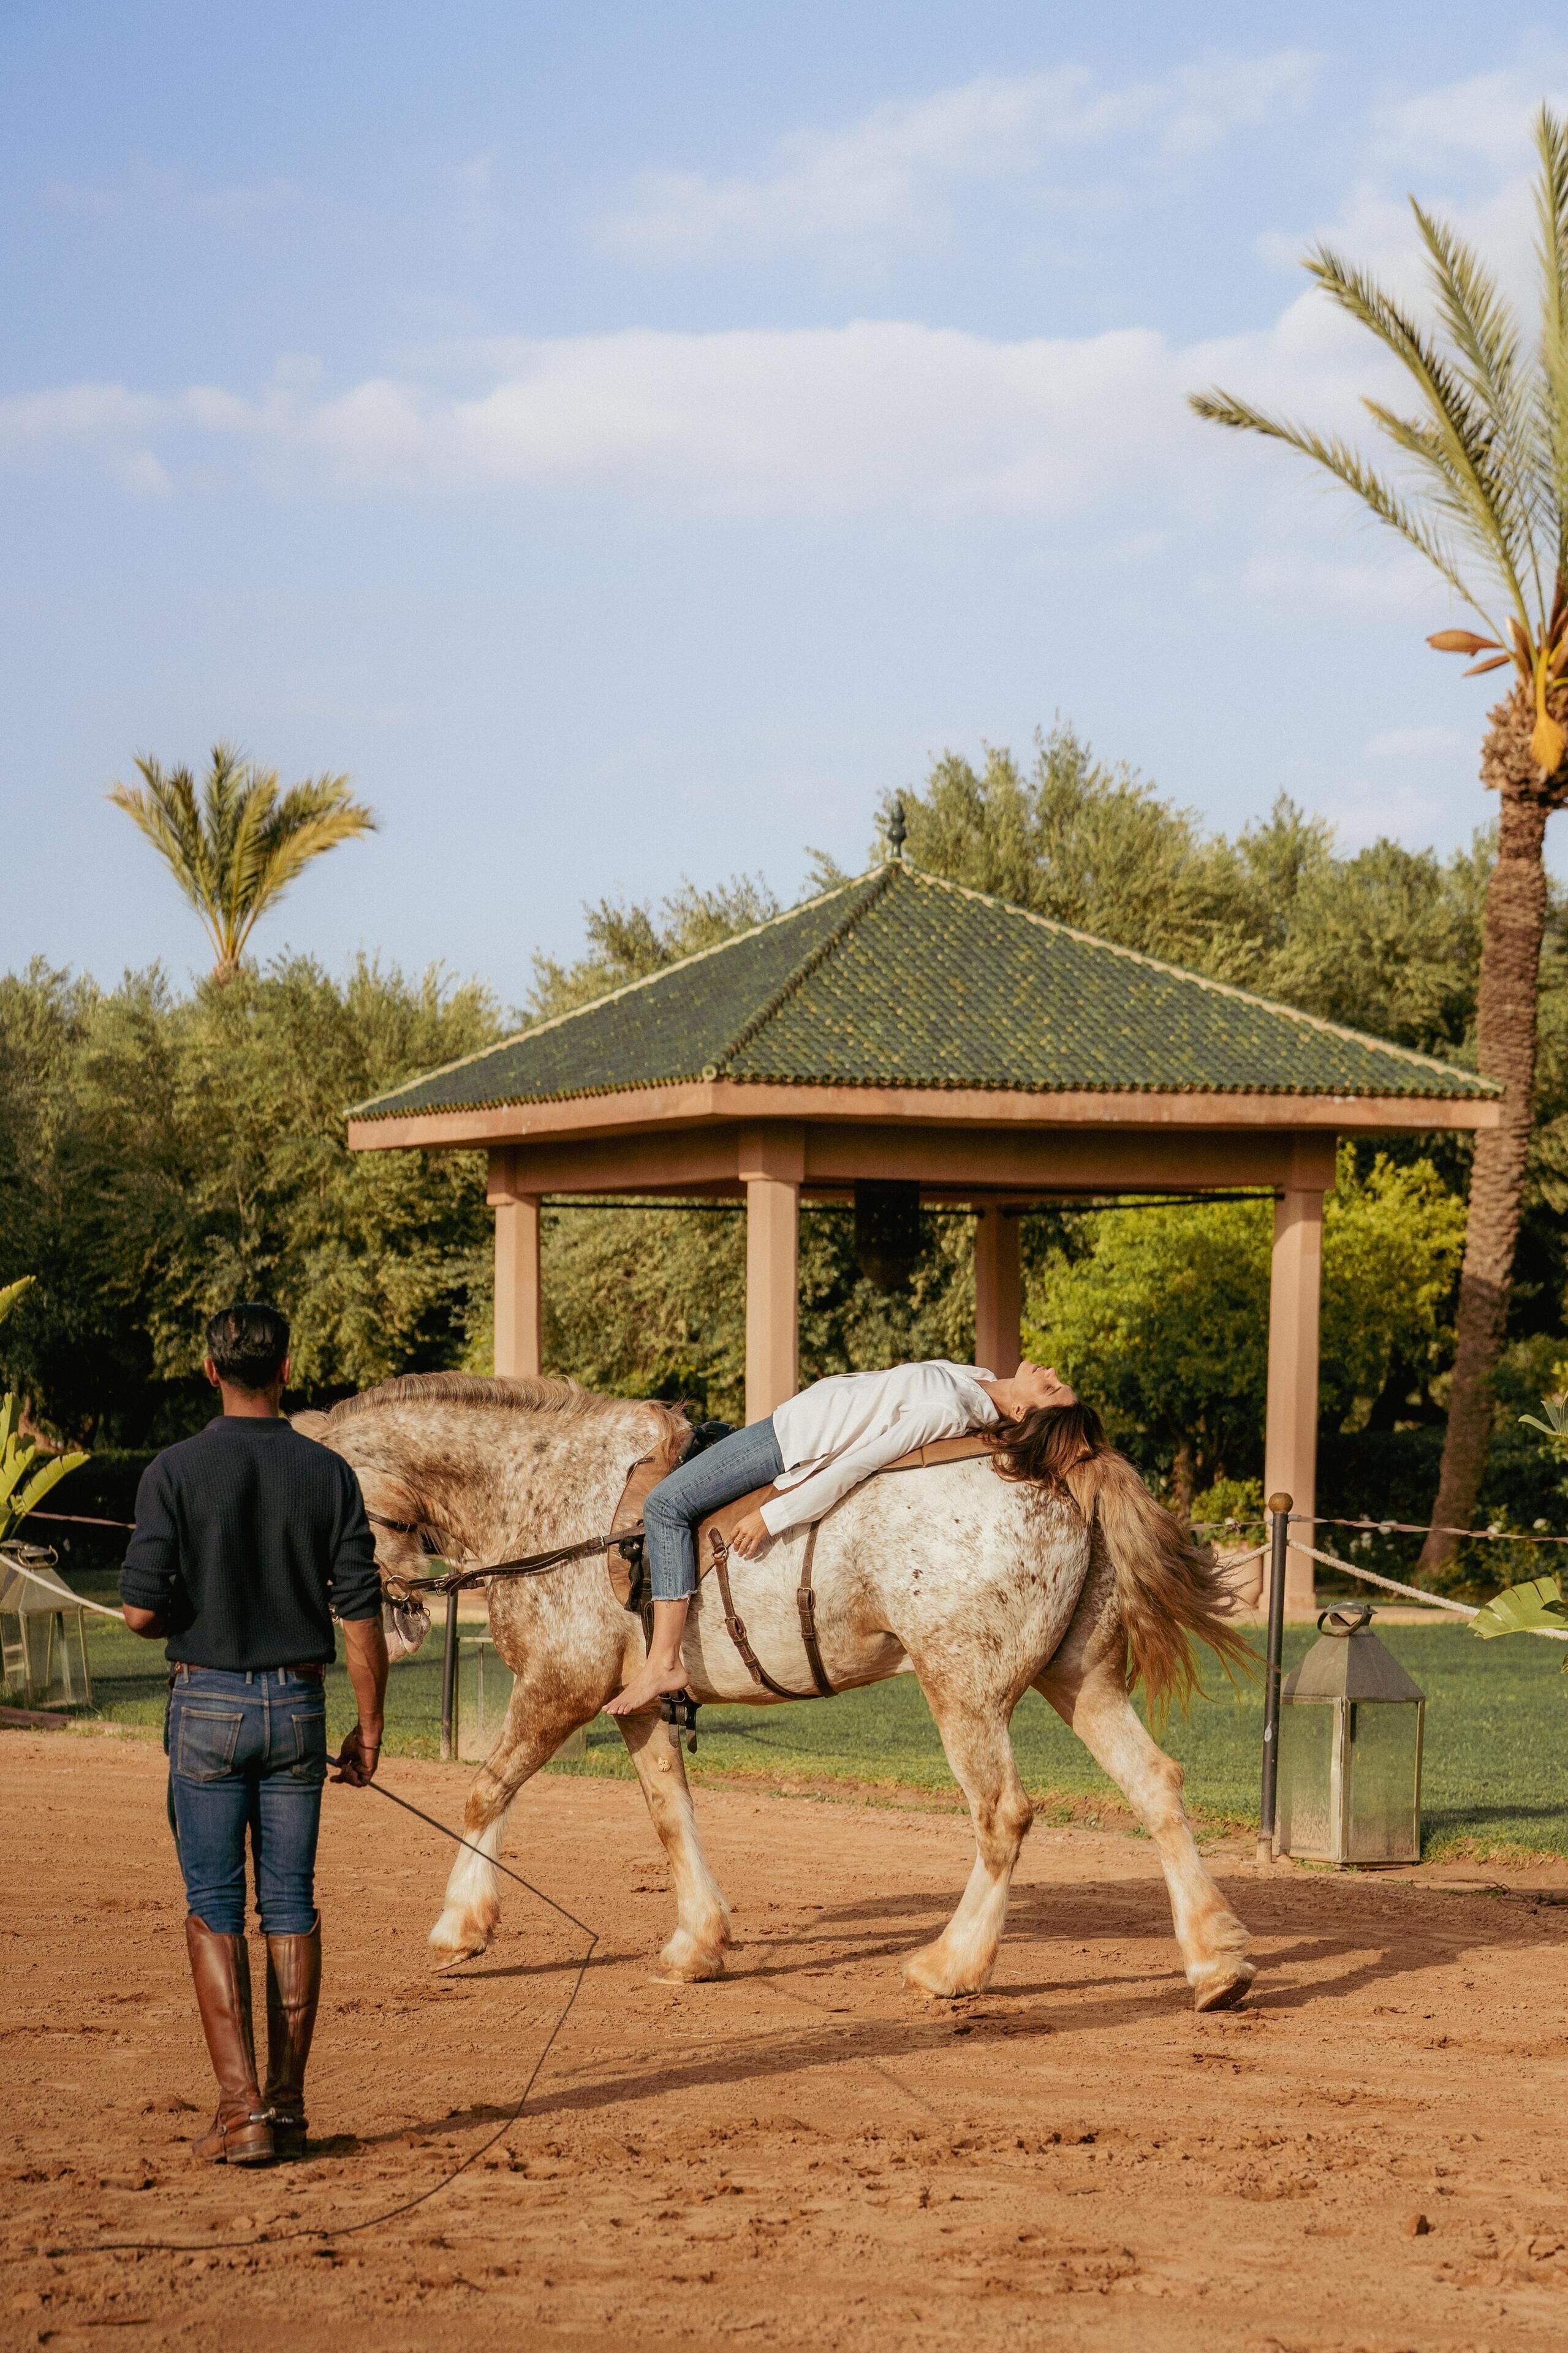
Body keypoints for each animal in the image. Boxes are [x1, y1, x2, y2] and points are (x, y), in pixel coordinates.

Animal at [295, 1373, 1257, 2011]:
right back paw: (1213, 1960)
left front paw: (462, 1924)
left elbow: (485, 1790)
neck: (551, 1490)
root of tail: (1058, 1470)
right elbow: (669, 1815)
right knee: (1155, 1786)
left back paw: (952, 1966)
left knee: (1002, 1817)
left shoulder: (561, 1685)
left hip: (965, 1691)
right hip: (1079, 1680)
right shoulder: (635, 1707)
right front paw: (697, 1942)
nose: (383, 1614)